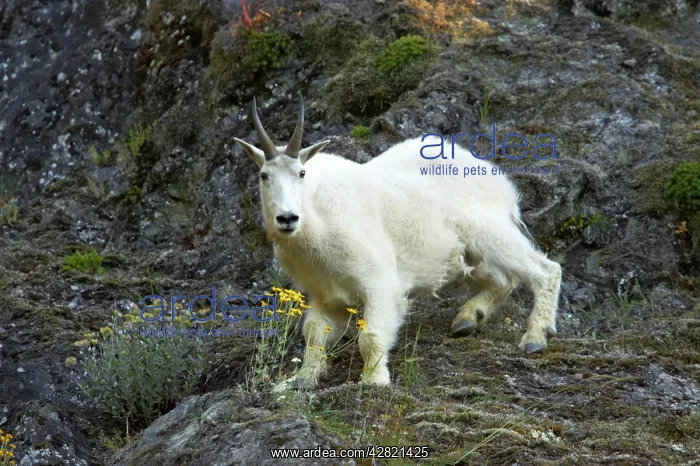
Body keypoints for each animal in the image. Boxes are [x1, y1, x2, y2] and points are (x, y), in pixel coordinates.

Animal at [234, 96, 562, 389]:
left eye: (301, 173)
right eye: (264, 175)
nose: (287, 218)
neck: (316, 220)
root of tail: (498, 179)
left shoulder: (379, 281)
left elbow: (370, 336)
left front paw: (374, 380)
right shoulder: (323, 293)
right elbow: (314, 333)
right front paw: (299, 381)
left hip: (489, 233)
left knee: (544, 270)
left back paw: (535, 337)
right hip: (465, 256)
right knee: (502, 279)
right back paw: (468, 319)